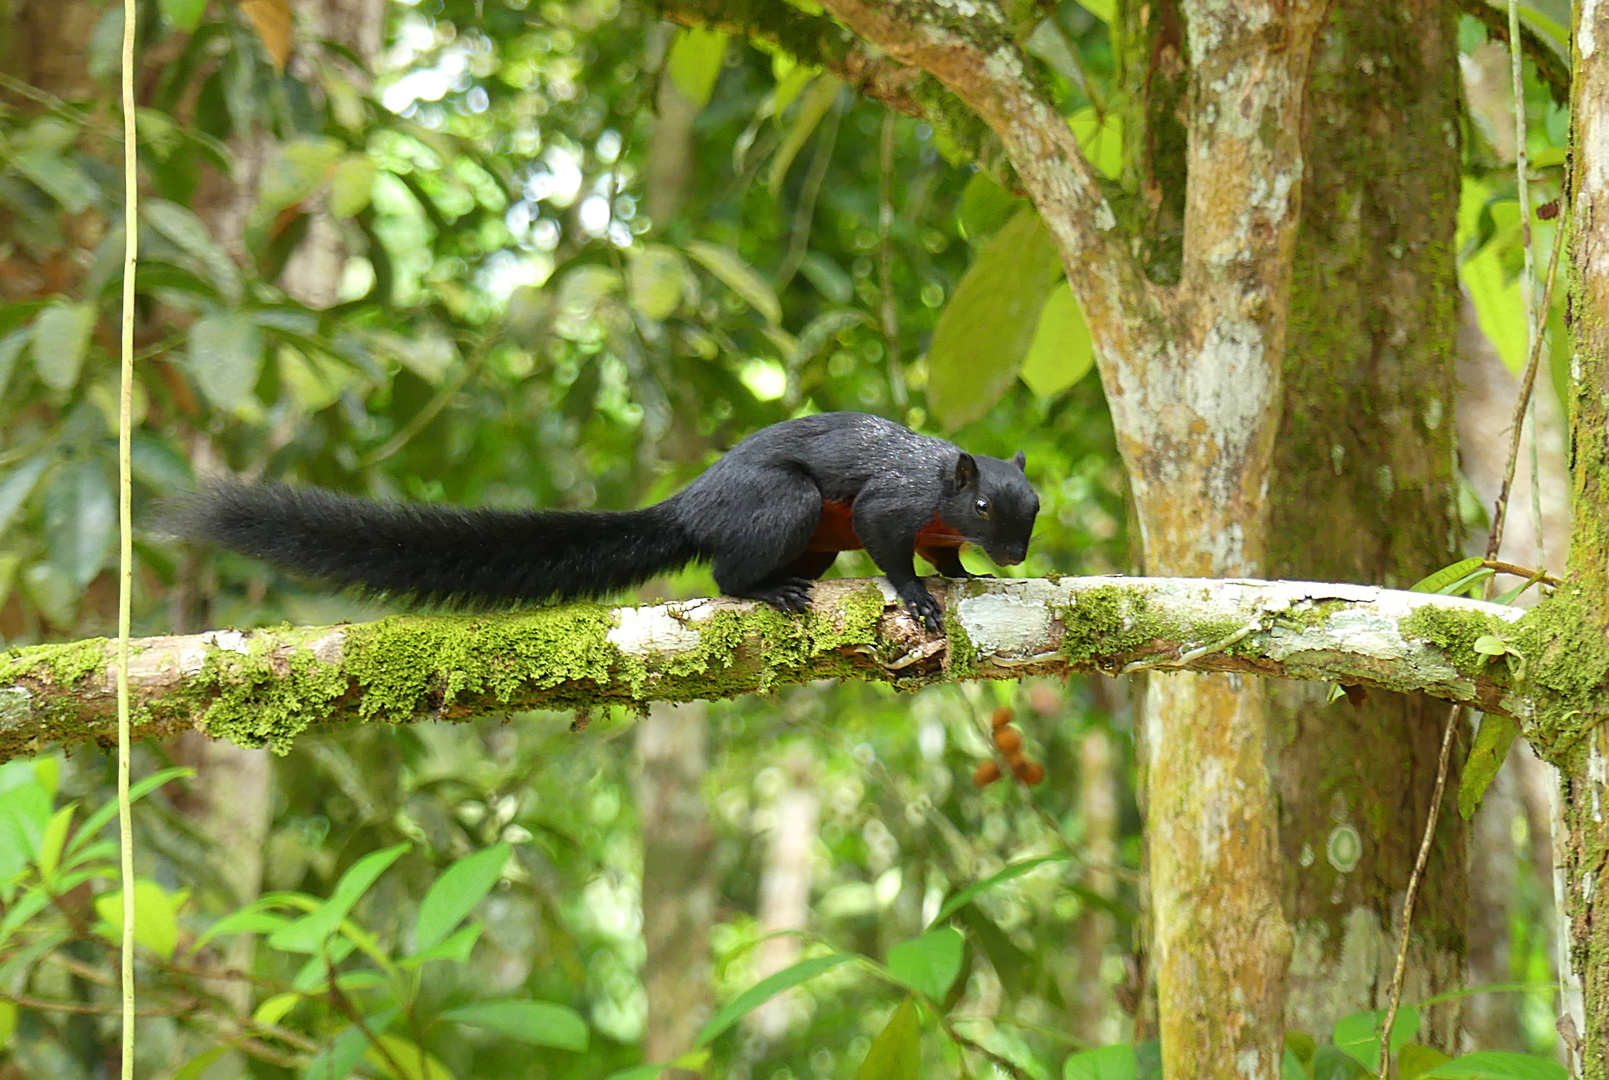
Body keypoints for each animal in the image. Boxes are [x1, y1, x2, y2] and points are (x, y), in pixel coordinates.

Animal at [169, 415, 1036, 634]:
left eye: (1032, 511)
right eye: (982, 506)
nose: (1014, 554)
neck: (940, 492)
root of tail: (693, 503)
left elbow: (948, 564)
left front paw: (966, 576)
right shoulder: (892, 505)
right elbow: (888, 546)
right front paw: (916, 596)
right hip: (788, 505)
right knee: (725, 573)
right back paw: (764, 592)